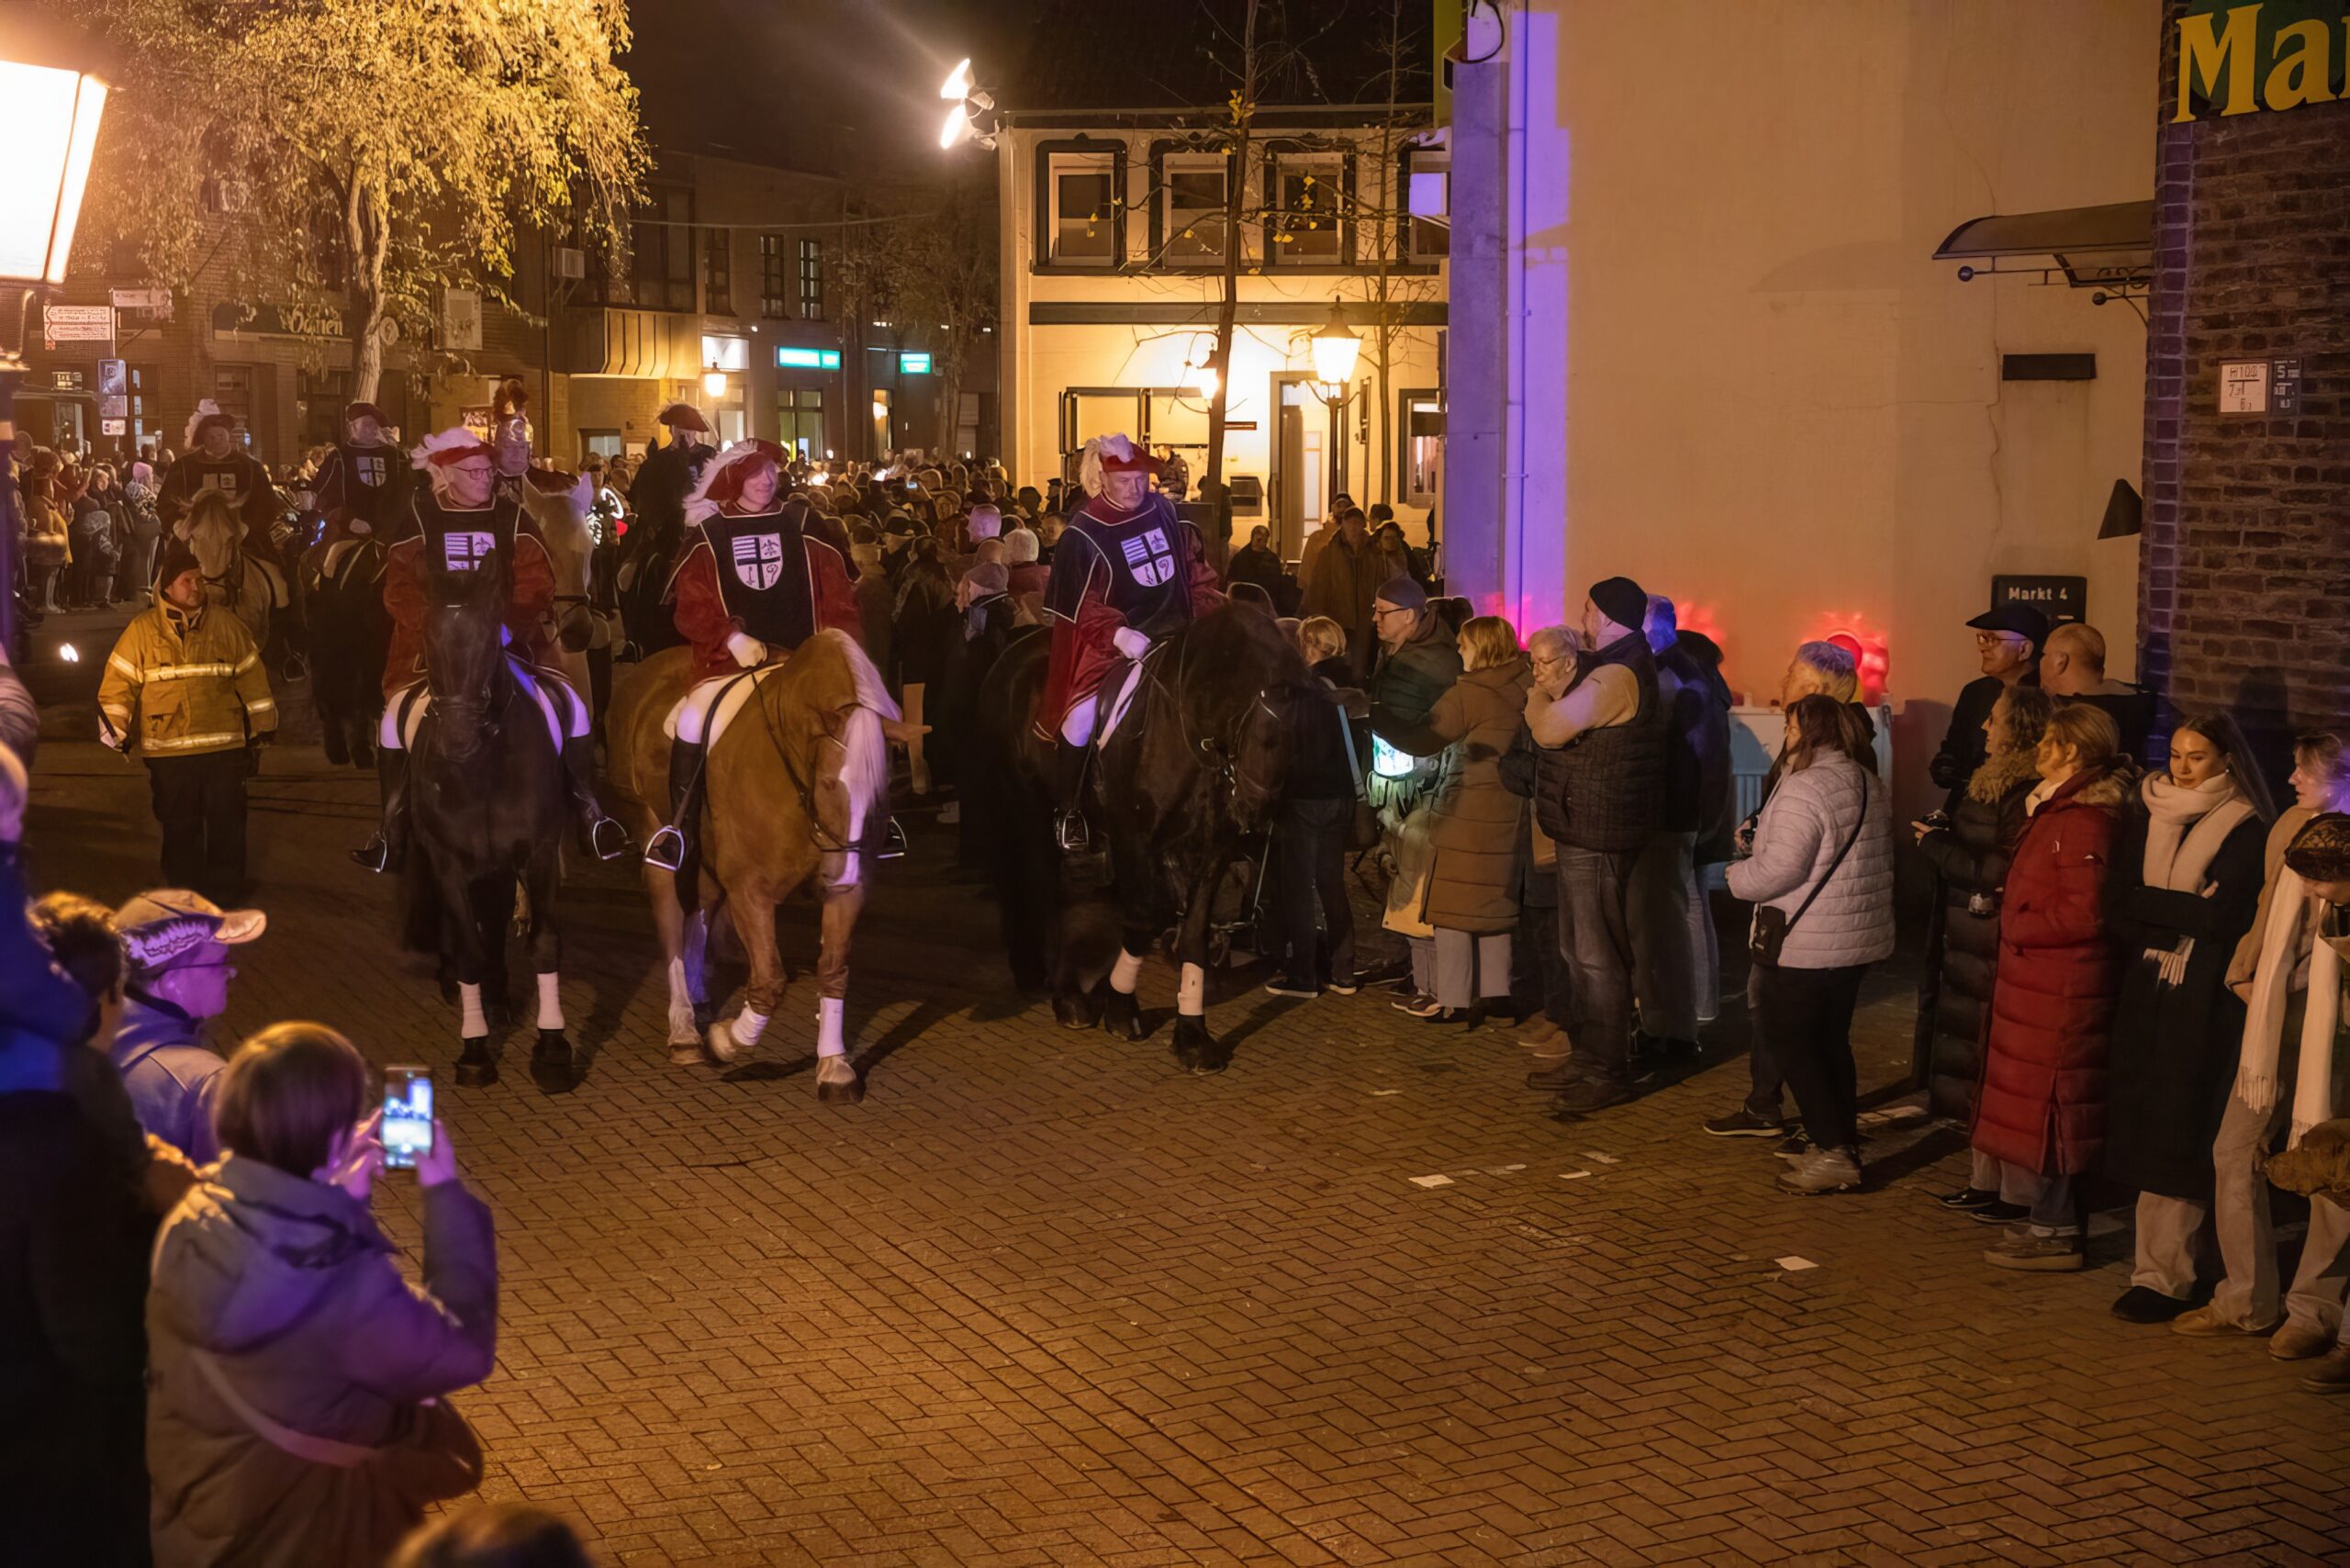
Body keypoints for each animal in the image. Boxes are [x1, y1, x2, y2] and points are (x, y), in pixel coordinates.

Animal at [402, 546, 577, 1087]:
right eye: (426, 636)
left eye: (487, 639)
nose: (457, 740)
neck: (482, 768)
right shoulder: (448, 860)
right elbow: (469, 952)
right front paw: (475, 1050)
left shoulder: (537, 852)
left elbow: (543, 944)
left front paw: (552, 1046)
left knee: (499, 916)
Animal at [608, 633, 899, 1102]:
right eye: (829, 783)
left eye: (880, 786)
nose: (844, 873)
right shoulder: (751, 890)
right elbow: (769, 980)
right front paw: (726, 1040)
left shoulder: (850, 889)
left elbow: (833, 970)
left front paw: (834, 1066)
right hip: (657, 837)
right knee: (672, 925)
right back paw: (685, 1030)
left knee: (701, 909)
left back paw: (699, 995)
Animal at [977, 603, 1309, 1074]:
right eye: (1266, 736)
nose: (1258, 819)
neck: (1193, 732)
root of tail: (1010, 657)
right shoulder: (1133, 838)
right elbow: (1139, 922)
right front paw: (1120, 1008)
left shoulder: (1211, 848)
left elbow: (1194, 934)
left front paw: (1192, 1035)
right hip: (1026, 809)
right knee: (1044, 892)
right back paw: (1066, 997)